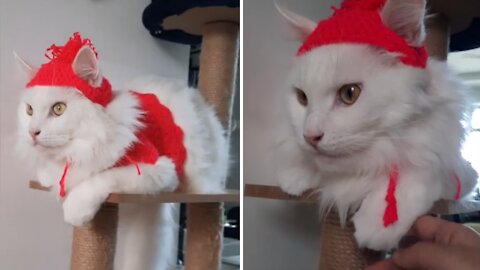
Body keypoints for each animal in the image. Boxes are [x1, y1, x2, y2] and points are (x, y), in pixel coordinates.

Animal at [15, 34, 228, 268]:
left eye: (59, 109)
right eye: (29, 110)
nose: (32, 132)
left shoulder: (160, 169)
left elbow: (103, 178)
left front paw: (75, 210)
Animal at [276, 0, 478, 251]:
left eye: (349, 94)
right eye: (302, 98)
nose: (310, 136)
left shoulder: (455, 169)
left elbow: (417, 173)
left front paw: (379, 222)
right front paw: (296, 174)